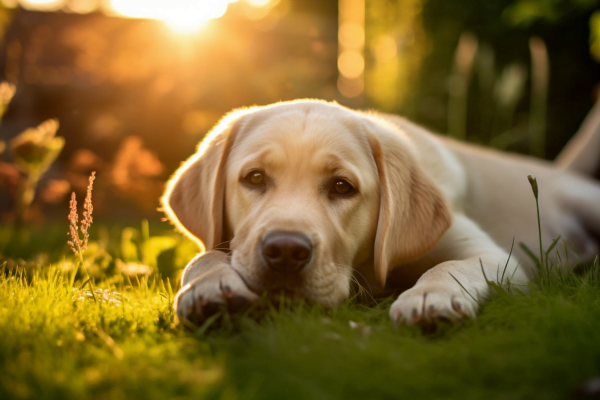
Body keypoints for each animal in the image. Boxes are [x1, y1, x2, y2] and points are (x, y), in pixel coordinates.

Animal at [162, 98, 600, 326]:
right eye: (254, 178)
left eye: (342, 187)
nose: (285, 251)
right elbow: (203, 255)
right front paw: (209, 285)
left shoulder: (495, 256)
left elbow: (451, 266)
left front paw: (429, 297)